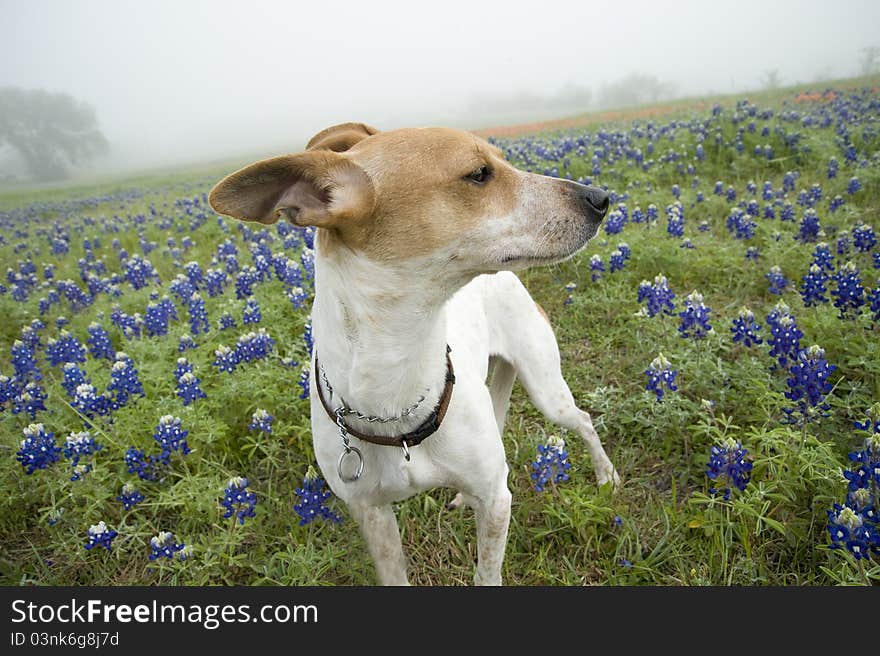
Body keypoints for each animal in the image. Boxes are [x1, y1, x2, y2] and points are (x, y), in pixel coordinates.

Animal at [208, 123, 620, 584]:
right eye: (479, 174)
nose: (600, 197)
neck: (395, 379)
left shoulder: (497, 498)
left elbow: (487, 573)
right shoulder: (371, 514)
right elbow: (394, 571)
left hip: (546, 387)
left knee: (583, 420)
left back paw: (606, 476)